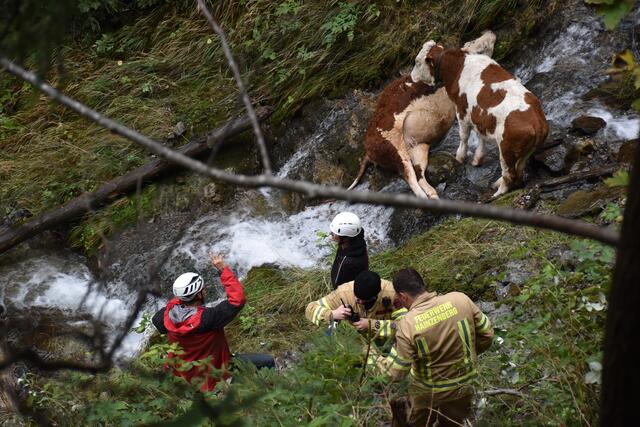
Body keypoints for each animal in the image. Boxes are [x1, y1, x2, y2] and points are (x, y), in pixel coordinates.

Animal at [348, 31, 498, 199]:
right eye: (477, 45)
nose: (491, 33)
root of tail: (367, 149)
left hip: (418, 148)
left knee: (418, 174)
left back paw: (432, 193)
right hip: (393, 147)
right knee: (409, 177)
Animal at [412, 39, 548, 198]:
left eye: (417, 62)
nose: (411, 76)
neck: (457, 67)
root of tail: (537, 122)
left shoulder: (462, 111)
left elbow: (464, 136)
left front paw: (460, 156)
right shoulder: (478, 115)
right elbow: (480, 135)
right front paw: (478, 158)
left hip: (506, 149)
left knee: (510, 174)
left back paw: (497, 193)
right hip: (526, 151)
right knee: (519, 170)